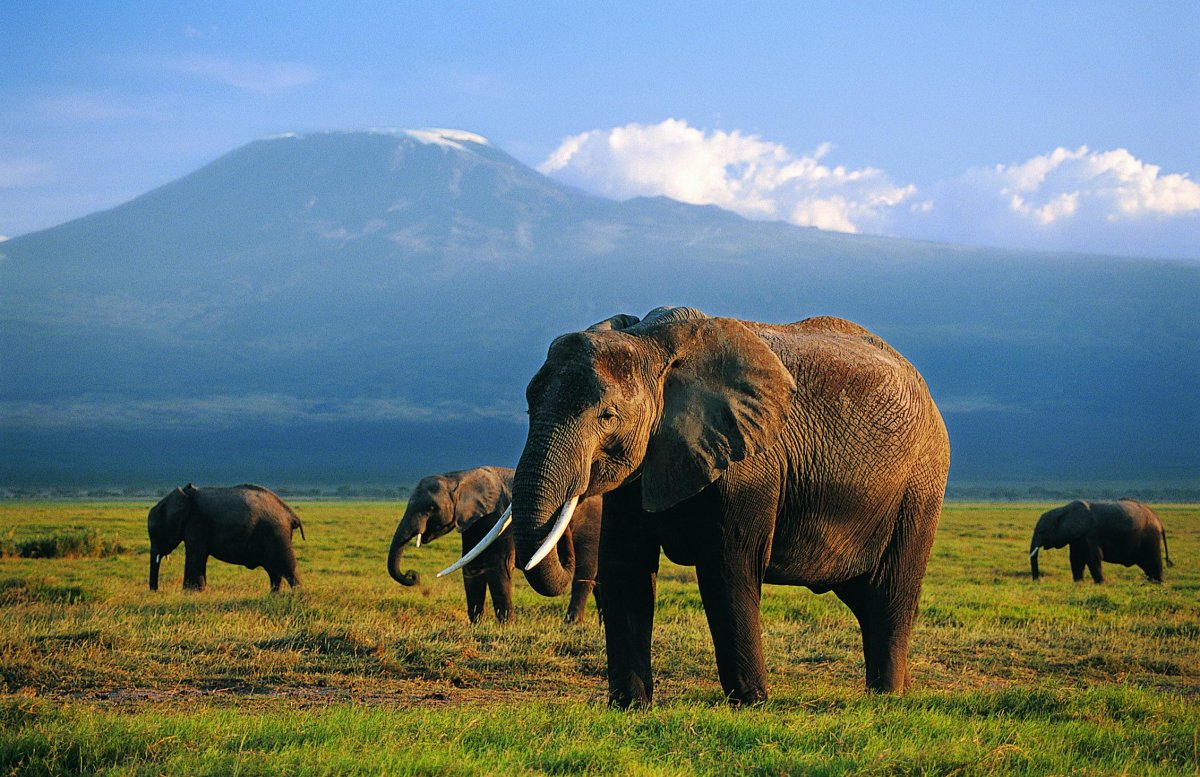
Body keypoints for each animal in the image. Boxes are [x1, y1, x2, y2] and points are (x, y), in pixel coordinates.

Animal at [146, 482, 304, 592]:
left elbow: (195, 554)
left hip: (276, 533)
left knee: (287, 566)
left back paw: (298, 595)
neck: (184, 494)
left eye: (155, 532)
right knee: (273, 569)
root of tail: (291, 513)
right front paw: (199, 592)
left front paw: (190, 592)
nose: (155, 590)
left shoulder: (195, 524)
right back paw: (273, 595)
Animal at [388, 467, 604, 623]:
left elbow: (498, 566)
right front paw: (476, 624)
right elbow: (472, 567)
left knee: (584, 576)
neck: (459, 477)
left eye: (431, 508)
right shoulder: (473, 523)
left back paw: (571, 624)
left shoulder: (498, 518)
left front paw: (507, 625)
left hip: (592, 527)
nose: (412, 575)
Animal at [1032, 498, 1171, 582]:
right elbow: (1075, 558)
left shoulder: (1090, 535)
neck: (1064, 510)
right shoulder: (1078, 537)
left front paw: (1100, 583)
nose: (1037, 581)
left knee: (1154, 560)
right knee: (1147, 565)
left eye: (1042, 531)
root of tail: (1159, 520)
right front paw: (1078, 583)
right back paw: (1151, 582)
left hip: (1151, 538)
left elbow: (1093, 557)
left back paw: (1159, 583)